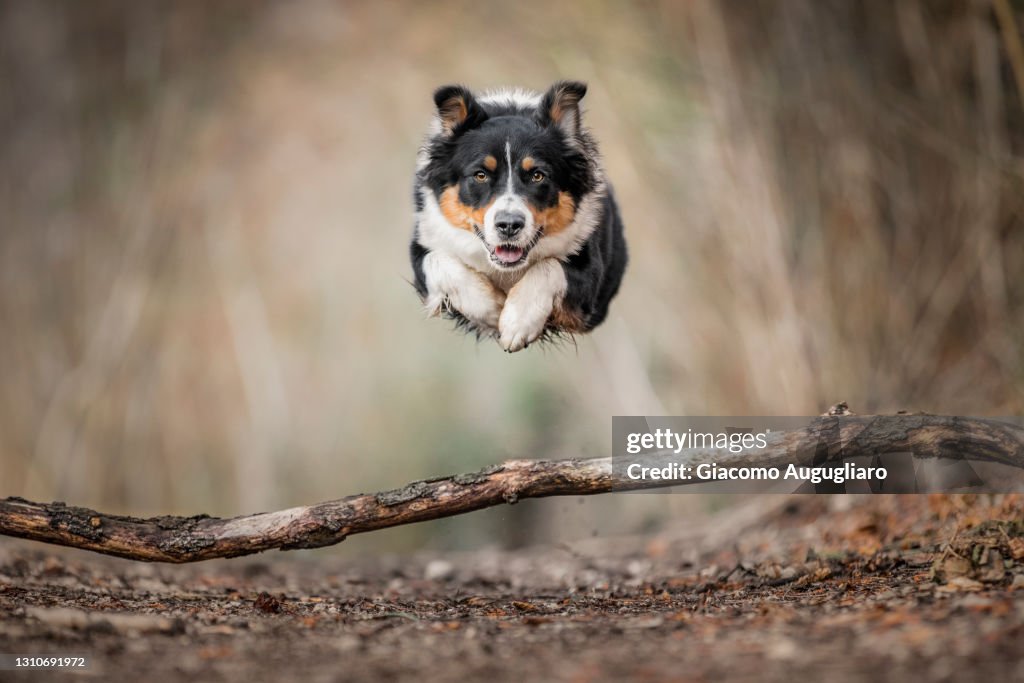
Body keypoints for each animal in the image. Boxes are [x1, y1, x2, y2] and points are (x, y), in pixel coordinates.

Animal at [407, 81, 622, 352]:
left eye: (538, 175)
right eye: (480, 175)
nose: (509, 225)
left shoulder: (588, 272)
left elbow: (549, 266)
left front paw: (517, 322)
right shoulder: (423, 243)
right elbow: (438, 260)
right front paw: (492, 309)